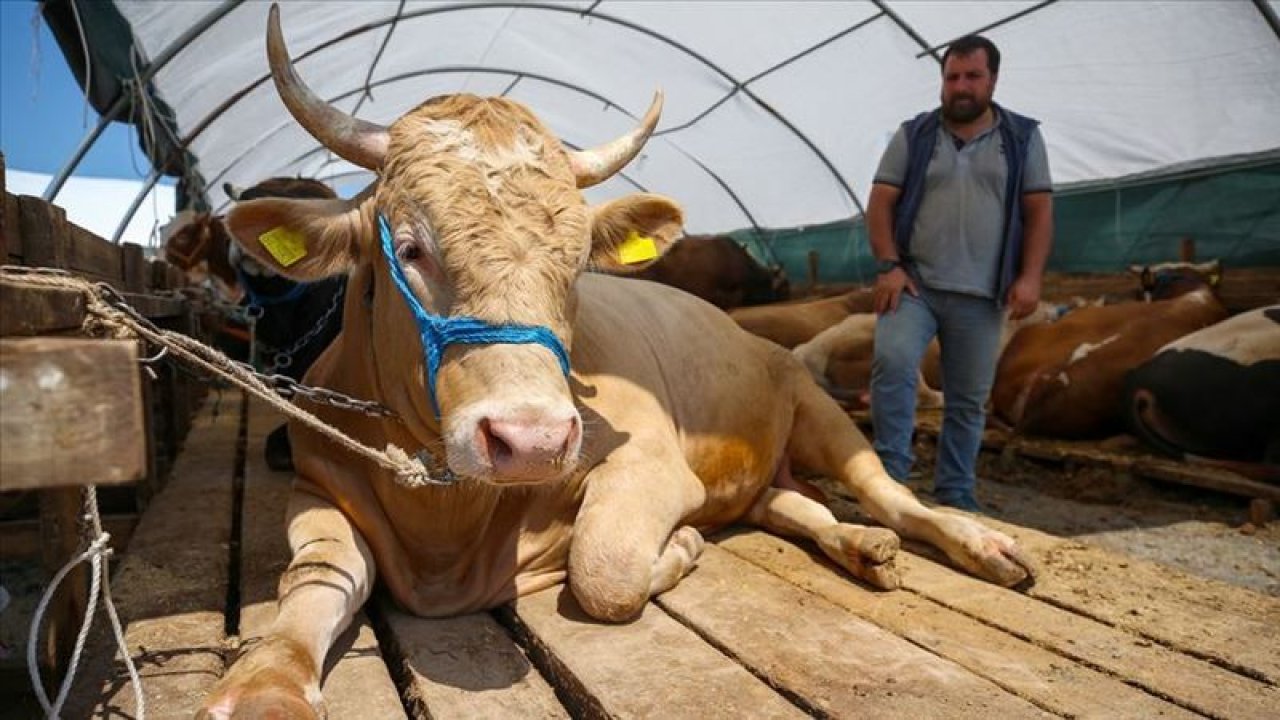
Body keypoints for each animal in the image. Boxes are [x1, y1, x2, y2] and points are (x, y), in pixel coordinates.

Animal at [202, 5, 1039, 712]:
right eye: (409, 248)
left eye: (578, 264)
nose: (531, 441)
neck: (446, 521)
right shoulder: (315, 485)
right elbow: (313, 580)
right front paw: (267, 685)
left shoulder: (652, 464)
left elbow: (603, 569)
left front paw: (683, 546)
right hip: (763, 467)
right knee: (794, 504)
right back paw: (860, 546)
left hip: (816, 411)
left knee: (889, 493)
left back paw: (975, 543)